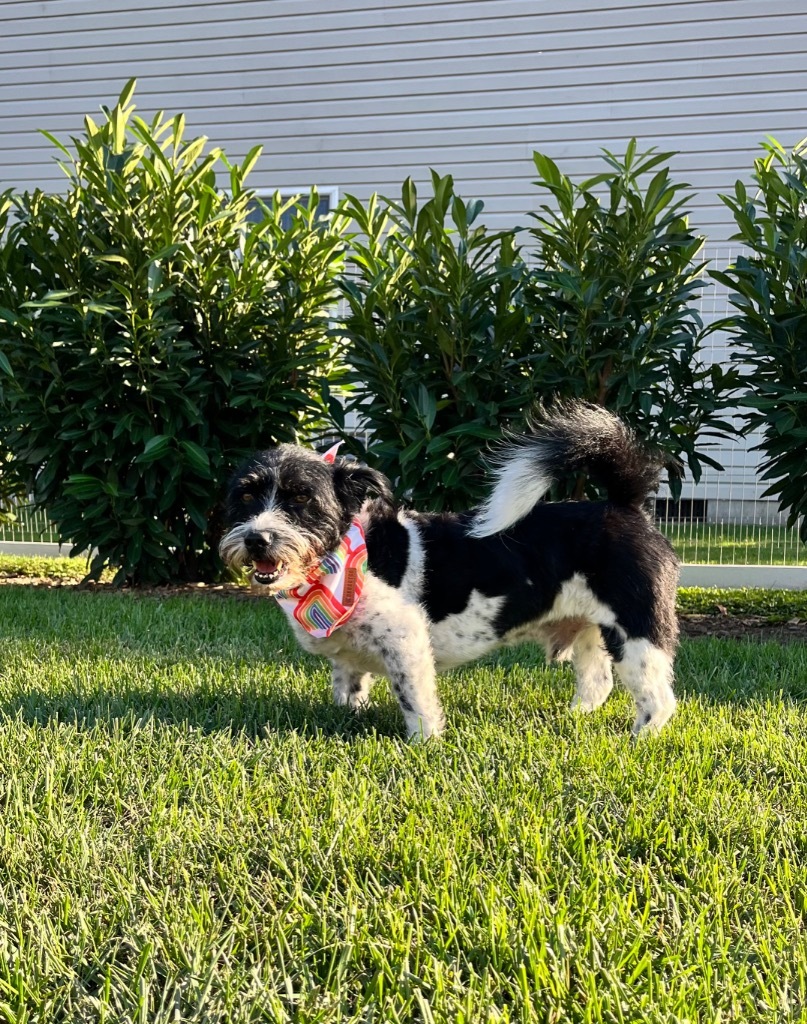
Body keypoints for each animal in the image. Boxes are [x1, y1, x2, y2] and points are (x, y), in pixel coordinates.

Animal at [219, 403, 680, 741]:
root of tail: (625, 506)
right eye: (245, 496)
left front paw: (423, 743)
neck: (344, 562)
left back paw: (638, 738)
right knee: (597, 682)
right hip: (589, 628)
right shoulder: (350, 658)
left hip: (637, 630)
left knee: (658, 699)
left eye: (302, 499)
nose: (257, 538)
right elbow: (348, 686)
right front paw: (350, 715)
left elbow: (414, 699)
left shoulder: (405, 641)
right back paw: (574, 718)